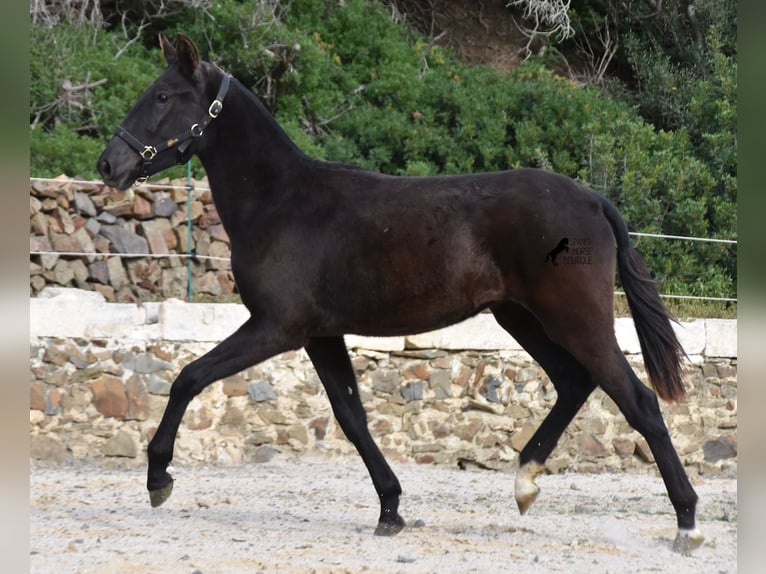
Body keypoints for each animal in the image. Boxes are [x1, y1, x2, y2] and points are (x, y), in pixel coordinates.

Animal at [99, 33, 704, 556]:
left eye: (163, 96)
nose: (109, 164)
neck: (282, 204)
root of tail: (594, 201)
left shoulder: (276, 328)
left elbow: (188, 378)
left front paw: (158, 477)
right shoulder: (321, 334)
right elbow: (351, 416)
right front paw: (390, 509)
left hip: (574, 319)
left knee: (638, 401)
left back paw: (687, 523)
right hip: (521, 318)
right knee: (574, 383)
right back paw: (525, 482)